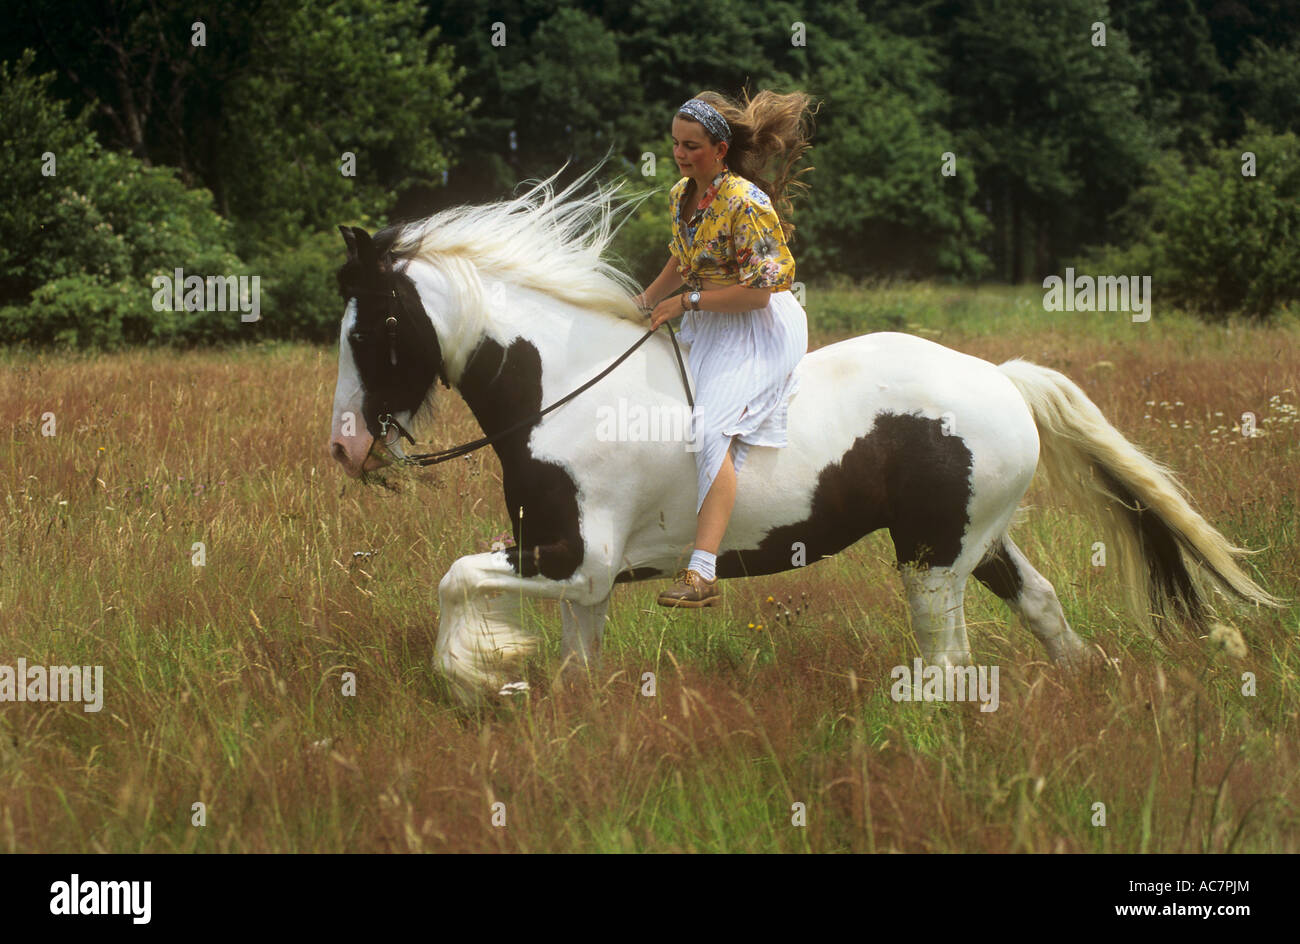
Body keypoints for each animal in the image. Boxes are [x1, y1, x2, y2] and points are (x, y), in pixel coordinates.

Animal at [330, 166, 1284, 707]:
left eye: (377, 323)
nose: (347, 450)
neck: (564, 389)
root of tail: (1003, 379)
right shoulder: (577, 572)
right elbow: (572, 666)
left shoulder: (578, 559)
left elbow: (456, 581)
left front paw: (476, 673)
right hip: (978, 539)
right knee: (1041, 605)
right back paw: (1084, 682)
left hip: (930, 557)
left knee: (948, 656)